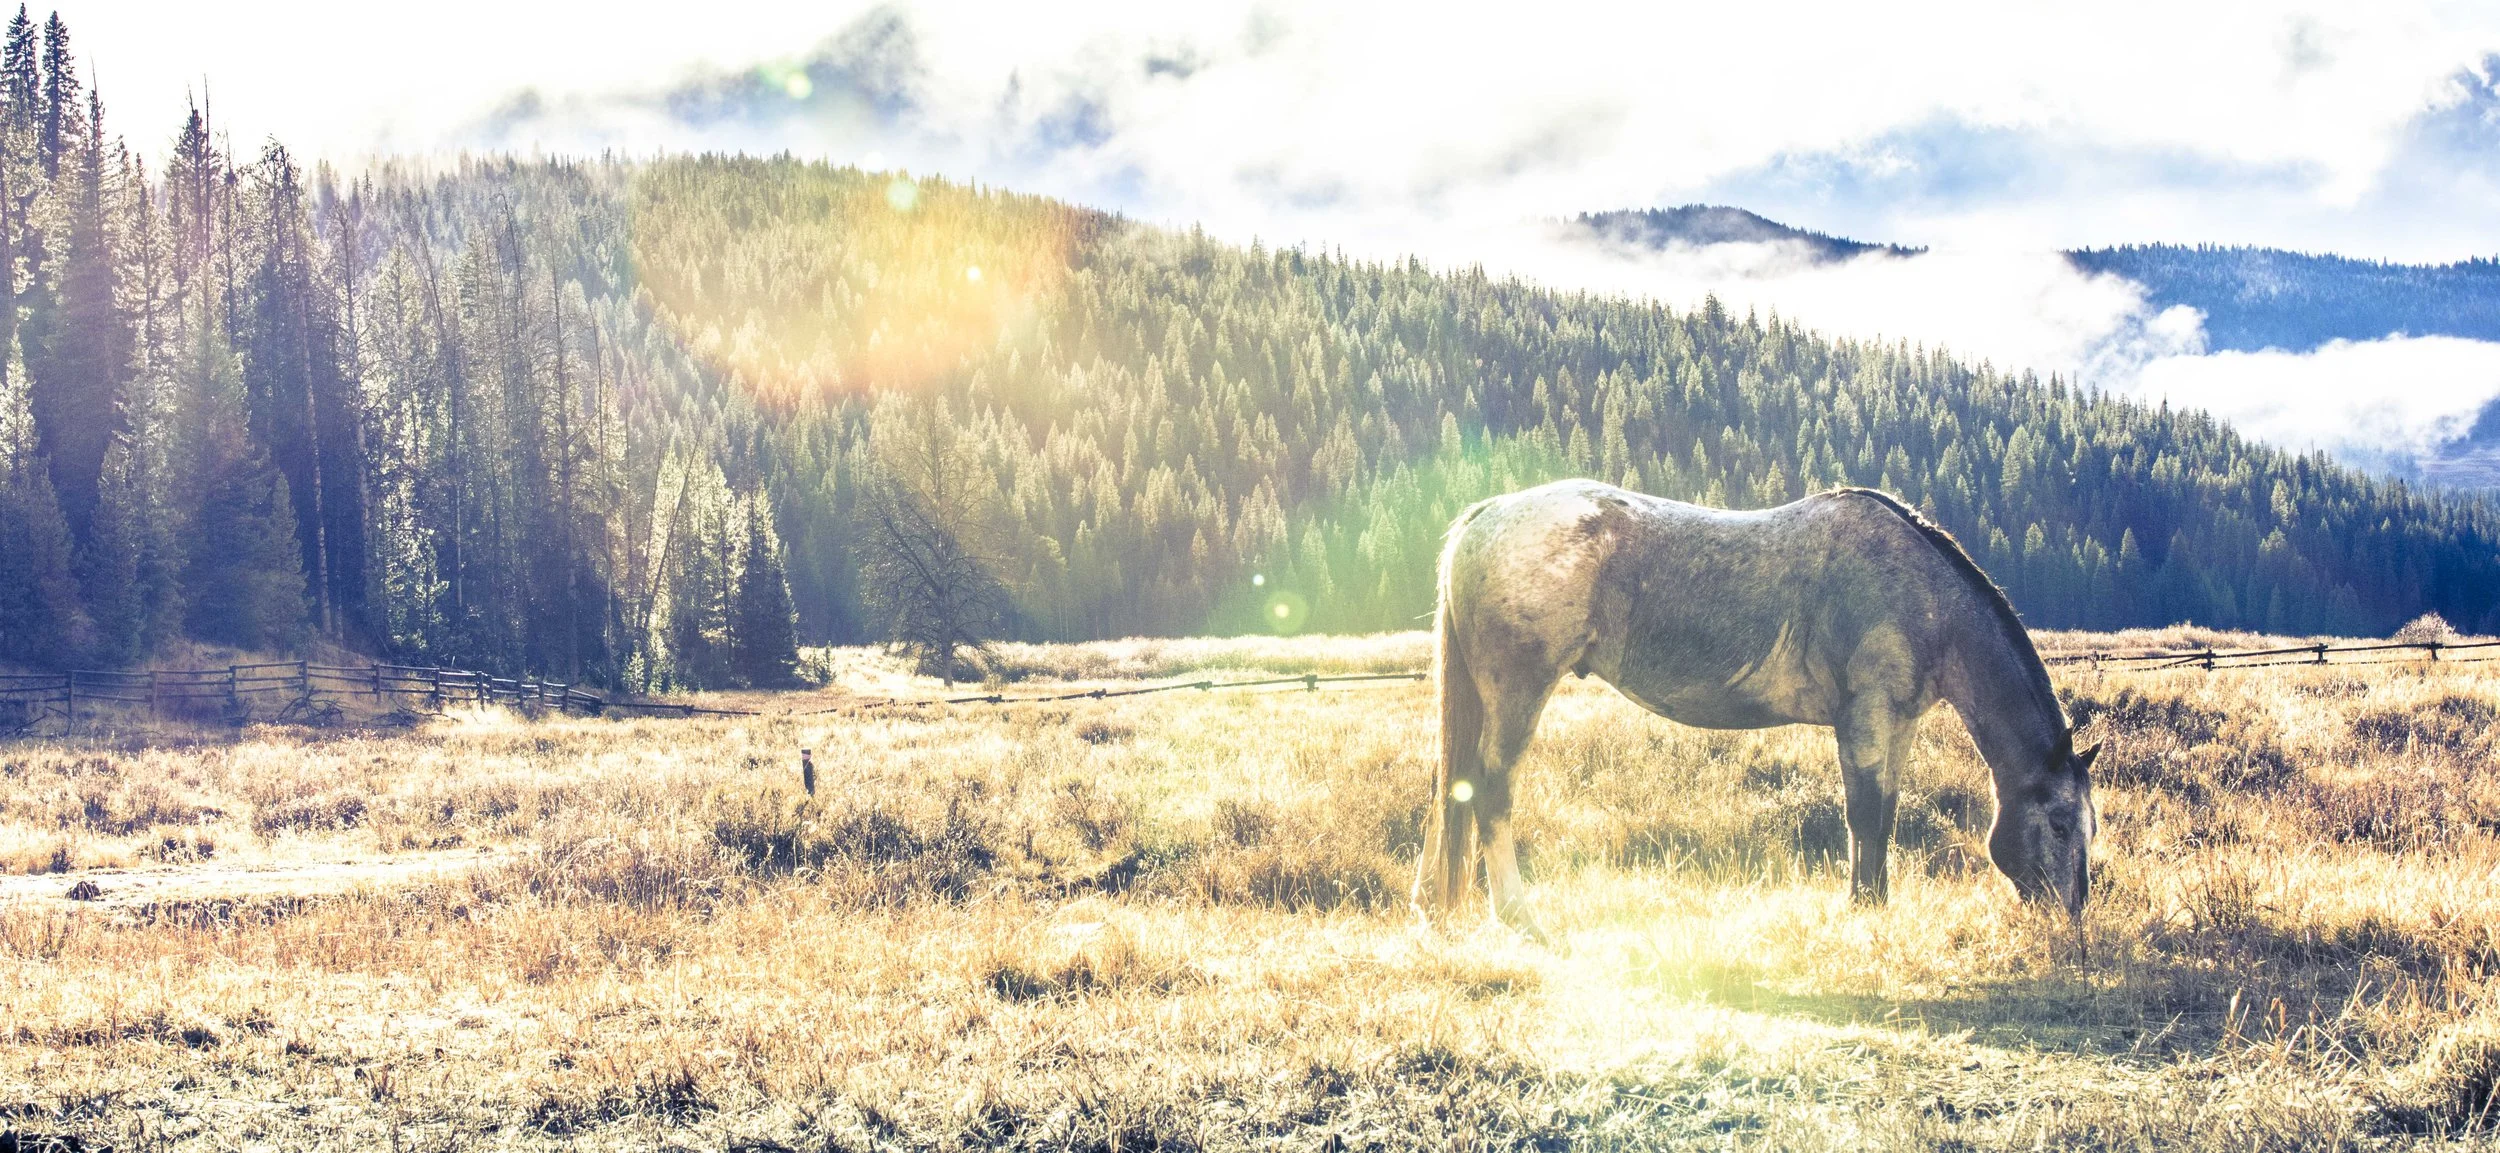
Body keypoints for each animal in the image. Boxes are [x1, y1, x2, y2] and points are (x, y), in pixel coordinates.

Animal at [1414, 479, 2098, 942]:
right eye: (2060, 824)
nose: (2073, 915)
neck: (1926, 599)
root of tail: (1487, 515)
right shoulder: (1865, 721)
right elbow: (1864, 816)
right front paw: (1862, 910)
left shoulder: (1897, 725)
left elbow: (1884, 815)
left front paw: (1872, 902)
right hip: (1518, 694)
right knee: (1491, 793)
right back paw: (1521, 918)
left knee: (1454, 789)